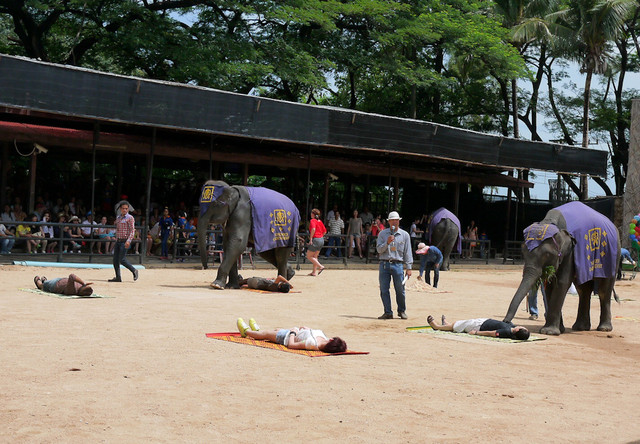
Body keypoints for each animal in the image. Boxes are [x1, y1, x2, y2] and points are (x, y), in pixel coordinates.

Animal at [504, 199, 620, 334]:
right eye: (523, 252)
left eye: (547, 254)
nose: (506, 322)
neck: (551, 222)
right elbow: (549, 284)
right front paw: (559, 329)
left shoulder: (571, 251)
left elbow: (562, 282)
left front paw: (549, 332)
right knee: (583, 290)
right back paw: (580, 328)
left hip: (612, 256)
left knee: (603, 289)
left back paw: (604, 329)